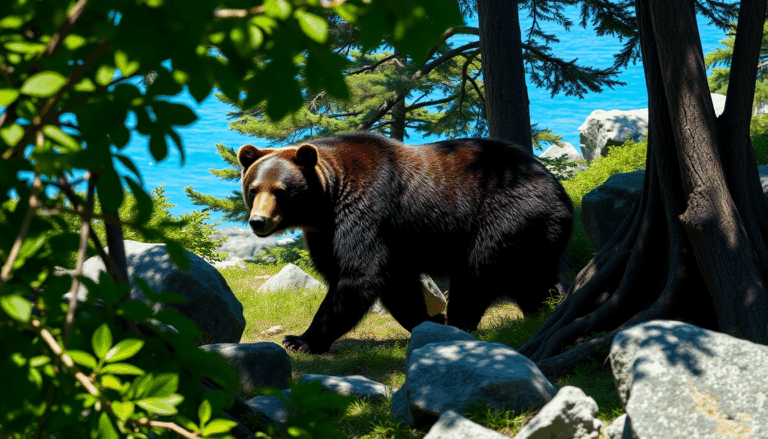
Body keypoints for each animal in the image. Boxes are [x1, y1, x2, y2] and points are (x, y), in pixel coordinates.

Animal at [237, 133, 573, 354]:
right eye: (253, 188)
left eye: (281, 190)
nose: (258, 221)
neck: (325, 205)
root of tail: (560, 192)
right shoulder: (328, 235)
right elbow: (395, 285)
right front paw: (425, 319)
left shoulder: (368, 213)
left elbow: (359, 276)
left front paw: (300, 339)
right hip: (535, 234)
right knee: (533, 277)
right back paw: (547, 308)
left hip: (507, 216)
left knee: (478, 272)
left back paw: (460, 321)